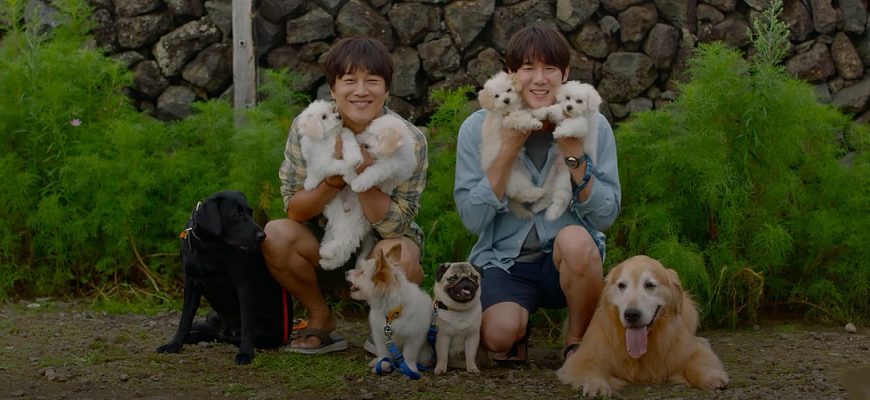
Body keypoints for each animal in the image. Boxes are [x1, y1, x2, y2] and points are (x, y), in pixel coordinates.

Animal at [156, 190, 292, 365]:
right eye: (237, 214)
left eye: (250, 212)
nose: (263, 235)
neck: (211, 248)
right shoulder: (191, 284)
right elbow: (185, 320)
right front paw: (174, 345)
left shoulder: (245, 285)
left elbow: (247, 325)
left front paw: (245, 353)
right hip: (212, 315)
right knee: (216, 333)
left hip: (266, 332)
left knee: (225, 336)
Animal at [346, 244, 434, 377]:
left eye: (361, 272)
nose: (346, 272)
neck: (392, 313)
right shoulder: (381, 336)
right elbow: (383, 354)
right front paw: (382, 364)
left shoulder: (414, 338)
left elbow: (409, 355)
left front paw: (410, 369)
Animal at [478, 71, 545, 214]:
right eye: (496, 96)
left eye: (509, 90)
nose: (506, 100)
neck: (508, 109)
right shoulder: (508, 121)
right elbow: (520, 118)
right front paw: (534, 123)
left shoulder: (520, 109)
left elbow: (527, 111)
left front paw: (541, 112)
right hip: (515, 179)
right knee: (522, 194)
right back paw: (538, 193)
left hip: (522, 175)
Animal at [557, 255, 729, 396]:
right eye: (621, 285)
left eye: (650, 285)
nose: (631, 315)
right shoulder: (582, 356)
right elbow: (590, 370)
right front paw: (597, 386)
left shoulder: (689, 349)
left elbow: (700, 362)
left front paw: (713, 376)